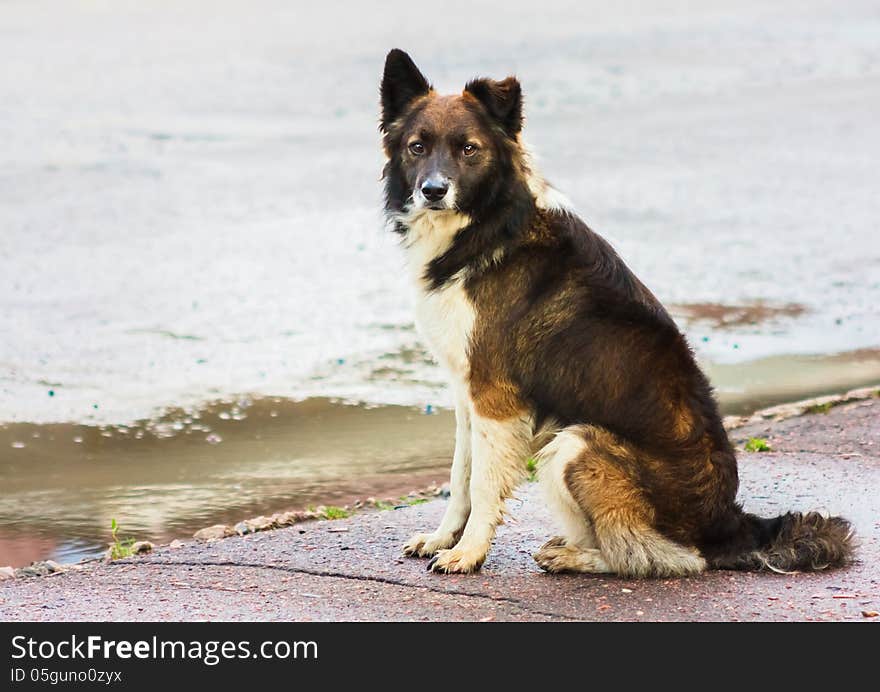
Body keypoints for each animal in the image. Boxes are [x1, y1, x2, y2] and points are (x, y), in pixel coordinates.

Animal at [376, 48, 852, 576]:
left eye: (468, 149)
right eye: (418, 147)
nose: (433, 190)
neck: (489, 225)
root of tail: (730, 525)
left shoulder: (494, 397)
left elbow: (482, 484)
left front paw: (468, 553)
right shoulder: (468, 392)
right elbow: (460, 475)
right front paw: (443, 539)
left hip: (575, 444)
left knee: (661, 556)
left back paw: (577, 558)